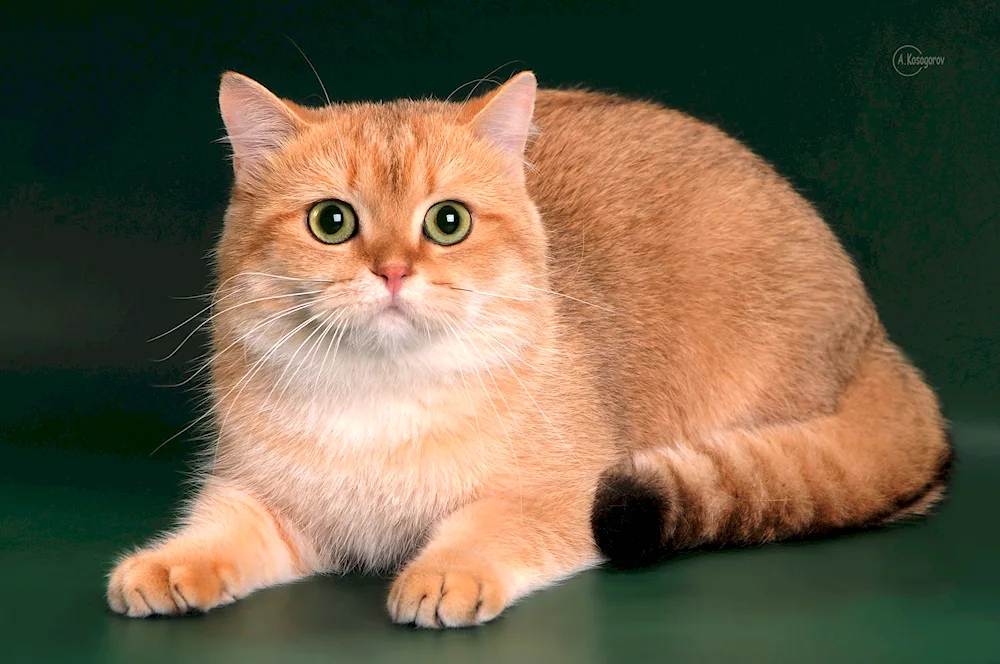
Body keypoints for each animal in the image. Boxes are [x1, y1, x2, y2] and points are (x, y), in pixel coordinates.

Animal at [105, 71, 948, 628]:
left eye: (448, 222)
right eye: (331, 222)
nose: (392, 271)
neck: (383, 399)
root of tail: (875, 337)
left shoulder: (561, 492)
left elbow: (492, 524)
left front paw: (447, 572)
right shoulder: (268, 497)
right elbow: (223, 527)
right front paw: (171, 563)